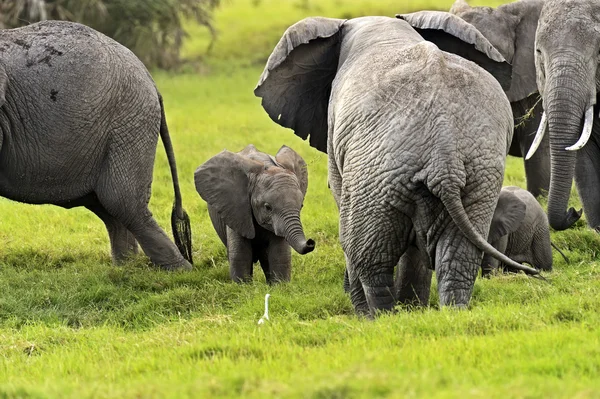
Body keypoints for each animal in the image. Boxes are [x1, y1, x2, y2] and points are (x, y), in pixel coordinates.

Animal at [0, 22, 192, 272]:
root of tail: (149, 78)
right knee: (106, 206)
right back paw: (125, 268)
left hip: (128, 121)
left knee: (121, 200)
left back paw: (180, 271)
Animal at [193, 145, 316, 282]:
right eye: (268, 207)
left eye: (301, 206)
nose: (311, 242)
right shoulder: (236, 209)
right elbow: (240, 255)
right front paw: (243, 286)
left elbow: (280, 255)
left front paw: (280, 286)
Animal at [253, 12, 540, 318]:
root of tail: (445, 156)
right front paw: (414, 309)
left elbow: (341, 197)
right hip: (477, 173)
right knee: (458, 254)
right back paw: (450, 313)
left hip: (377, 173)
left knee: (368, 255)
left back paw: (377, 317)